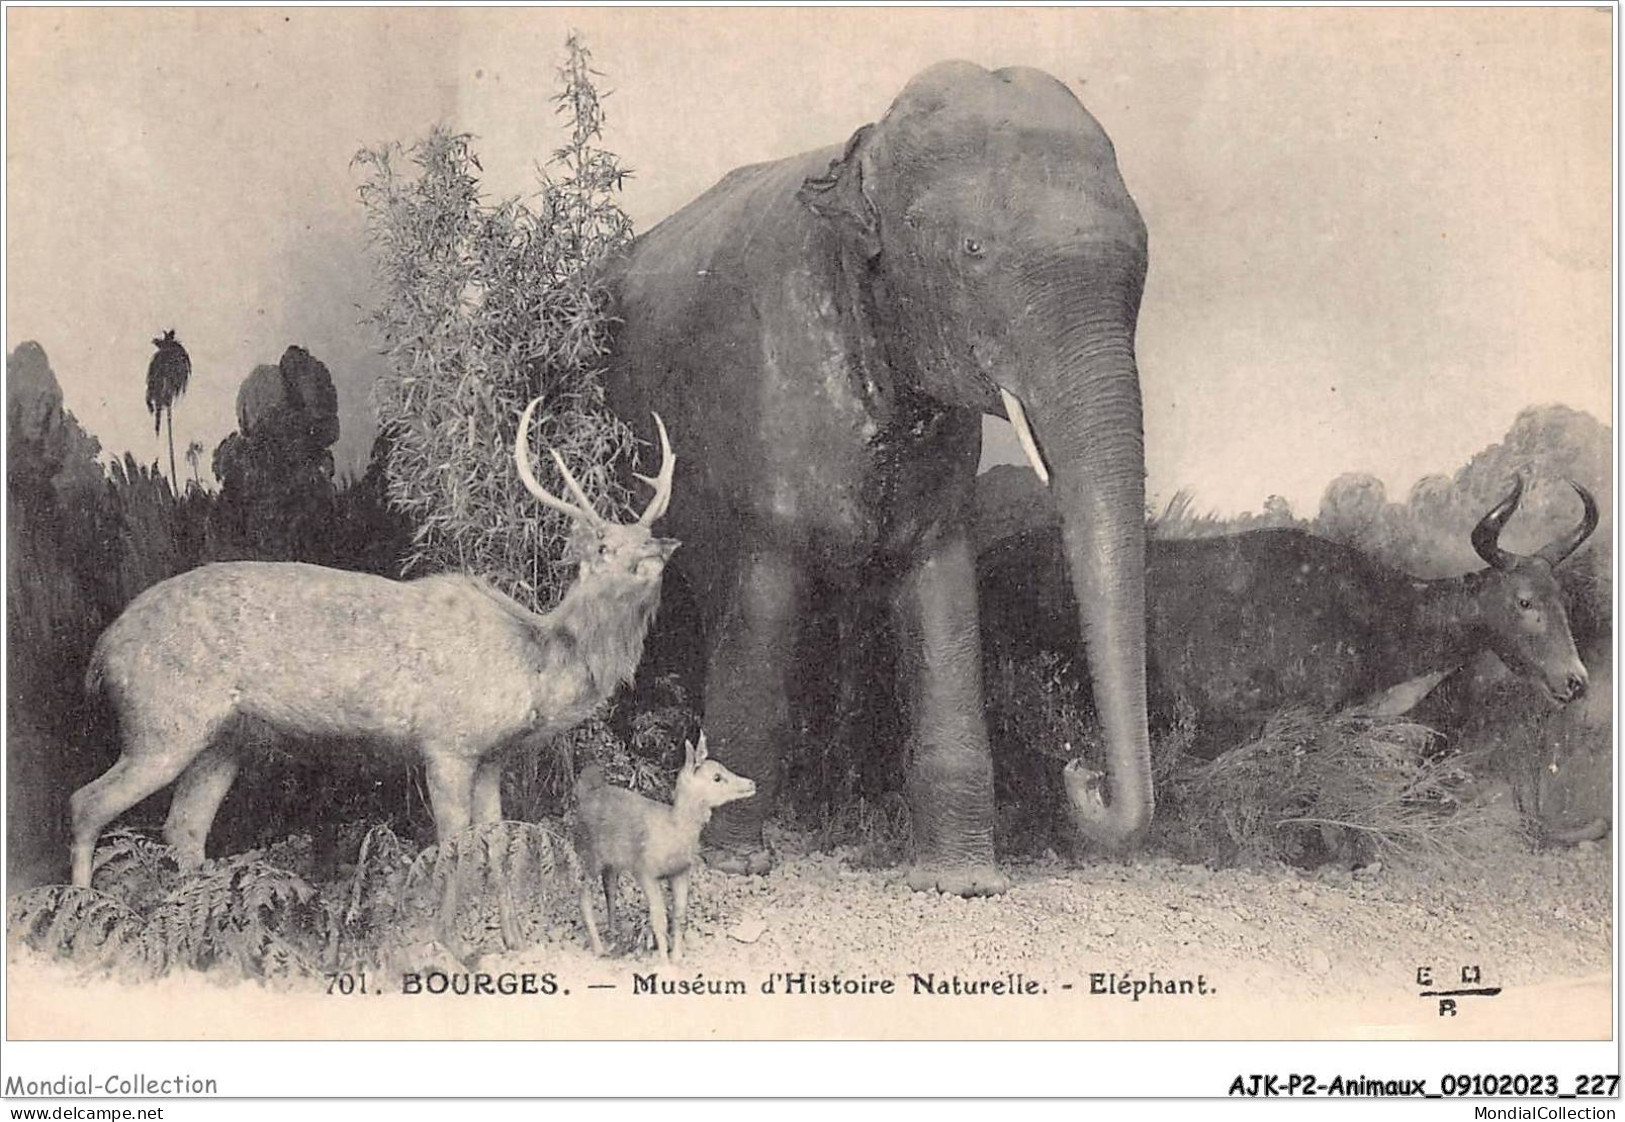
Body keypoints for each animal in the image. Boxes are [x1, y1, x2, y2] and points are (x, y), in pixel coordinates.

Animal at [68, 395, 679, 884]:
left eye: (646, 538)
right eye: (602, 547)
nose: (652, 559)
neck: (533, 664)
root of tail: (102, 652)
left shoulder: (491, 756)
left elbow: (495, 838)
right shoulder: (446, 742)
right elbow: (454, 843)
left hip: (223, 738)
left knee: (184, 828)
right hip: (160, 720)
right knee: (85, 802)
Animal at [604, 60, 1150, 884]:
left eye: (1143, 259)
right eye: (973, 250)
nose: (1078, 771)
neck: (859, 156)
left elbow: (943, 602)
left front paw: (962, 882)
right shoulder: (759, 424)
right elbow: (760, 613)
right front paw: (736, 865)